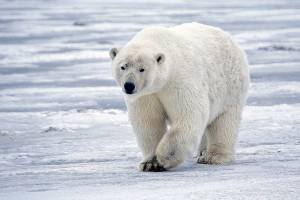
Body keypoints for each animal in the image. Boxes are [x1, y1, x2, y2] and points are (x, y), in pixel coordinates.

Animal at [109, 22, 250, 172]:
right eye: (123, 67)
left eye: (142, 69)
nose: (129, 86)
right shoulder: (146, 95)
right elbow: (149, 122)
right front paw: (149, 163)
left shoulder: (179, 80)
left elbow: (189, 114)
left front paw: (164, 158)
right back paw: (202, 151)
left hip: (231, 87)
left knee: (224, 122)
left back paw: (214, 156)